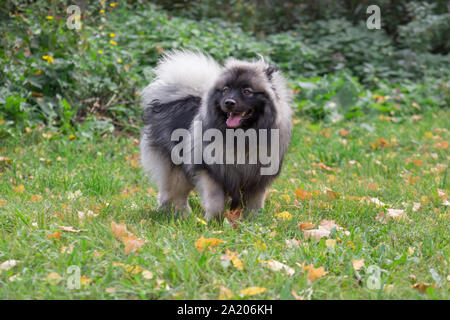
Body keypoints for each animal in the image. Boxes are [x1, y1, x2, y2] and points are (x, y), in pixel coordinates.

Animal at [142, 50, 296, 220]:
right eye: (226, 90)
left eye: (246, 91)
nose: (229, 102)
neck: (241, 136)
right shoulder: (211, 172)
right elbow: (215, 200)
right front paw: (211, 221)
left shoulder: (257, 178)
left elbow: (254, 202)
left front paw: (253, 219)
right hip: (176, 167)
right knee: (176, 193)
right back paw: (184, 215)